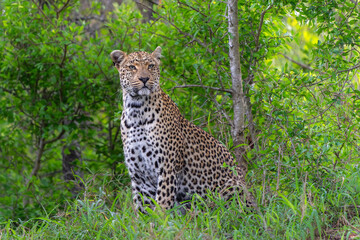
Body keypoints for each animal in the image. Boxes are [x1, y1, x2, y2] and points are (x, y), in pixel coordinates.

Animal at [111, 46, 255, 213]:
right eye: (132, 67)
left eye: (151, 66)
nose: (144, 79)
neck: (136, 111)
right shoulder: (139, 176)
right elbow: (143, 209)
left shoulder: (167, 167)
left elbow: (162, 203)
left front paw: (161, 218)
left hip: (232, 186)